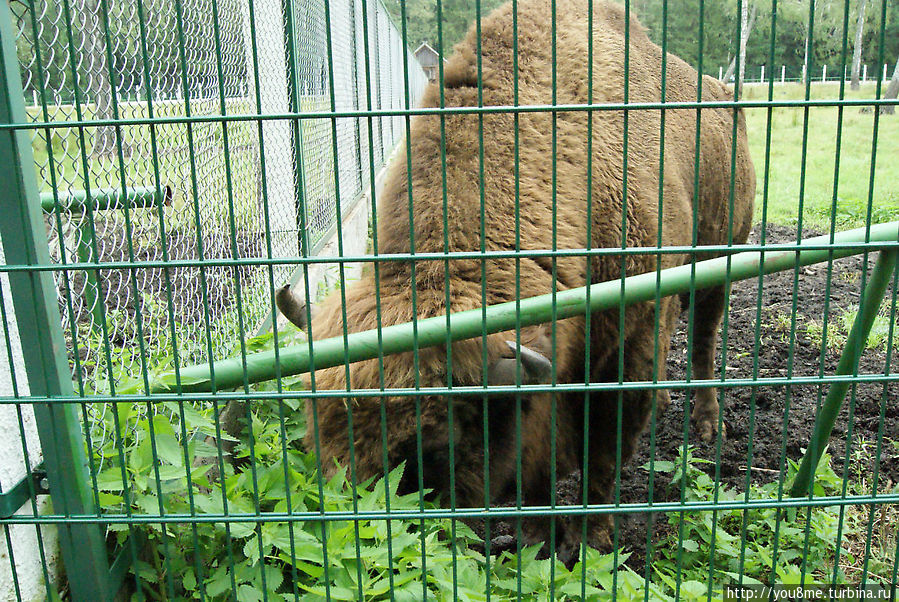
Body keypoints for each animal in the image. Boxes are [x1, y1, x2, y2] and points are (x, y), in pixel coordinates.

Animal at [278, 0, 756, 556]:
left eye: (434, 443)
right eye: (318, 434)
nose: (374, 541)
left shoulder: (629, 346)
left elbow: (604, 455)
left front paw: (589, 542)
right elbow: (536, 472)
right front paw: (533, 542)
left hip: (722, 258)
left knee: (703, 336)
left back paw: (707, 425)